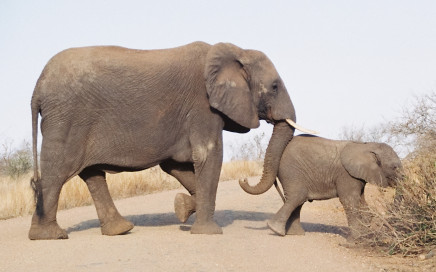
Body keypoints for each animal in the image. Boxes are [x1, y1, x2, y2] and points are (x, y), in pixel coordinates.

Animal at [29, 41, 312, 239]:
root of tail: (37, 88)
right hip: (66, 119)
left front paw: (182, 207)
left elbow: (176, 165)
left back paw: (119, 230)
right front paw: (208, 232)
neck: (235, 51)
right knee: (58, 172)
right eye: (274, 87)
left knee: (92, 174)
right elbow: (209, 156)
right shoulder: (203, 107)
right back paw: (51, 236)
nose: (244, 179)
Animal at [238, 134, 402, 240]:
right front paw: (356, 240)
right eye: (394, 167)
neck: (366, 145)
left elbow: (361, 201)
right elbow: (350, 201)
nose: (243, 178)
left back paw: (294, 234)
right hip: (291, 171)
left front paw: (365, 234)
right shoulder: (345, 175)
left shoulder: (357, 176)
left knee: (297, 200)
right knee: (297, 197)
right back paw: (276, 230)